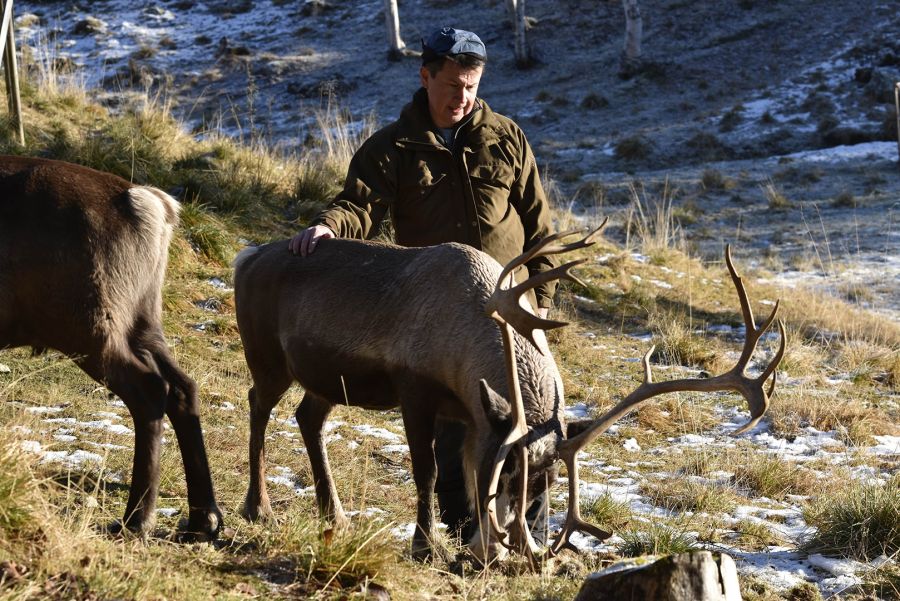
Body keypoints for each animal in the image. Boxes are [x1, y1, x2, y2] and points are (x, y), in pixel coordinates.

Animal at [0, 155, 221, 541]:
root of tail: (150, 203)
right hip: (143, 318)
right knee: (183, 387)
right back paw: (202, 519)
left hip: (87, 323)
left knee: (150, 390)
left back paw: (136, 519)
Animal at [233, 223, 784, 563]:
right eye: (510, 475)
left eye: (545, 485)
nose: (509, 550)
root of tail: (247, 256)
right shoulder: (416, 390)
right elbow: (429, 471)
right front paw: (426, 545)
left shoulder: (472, 415)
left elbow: (463, 468)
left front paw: (478, 545)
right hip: (267, 356)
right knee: (258, 406)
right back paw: (257, 507)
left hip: (325, 378)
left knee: (308, 417)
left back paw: (336, 516)